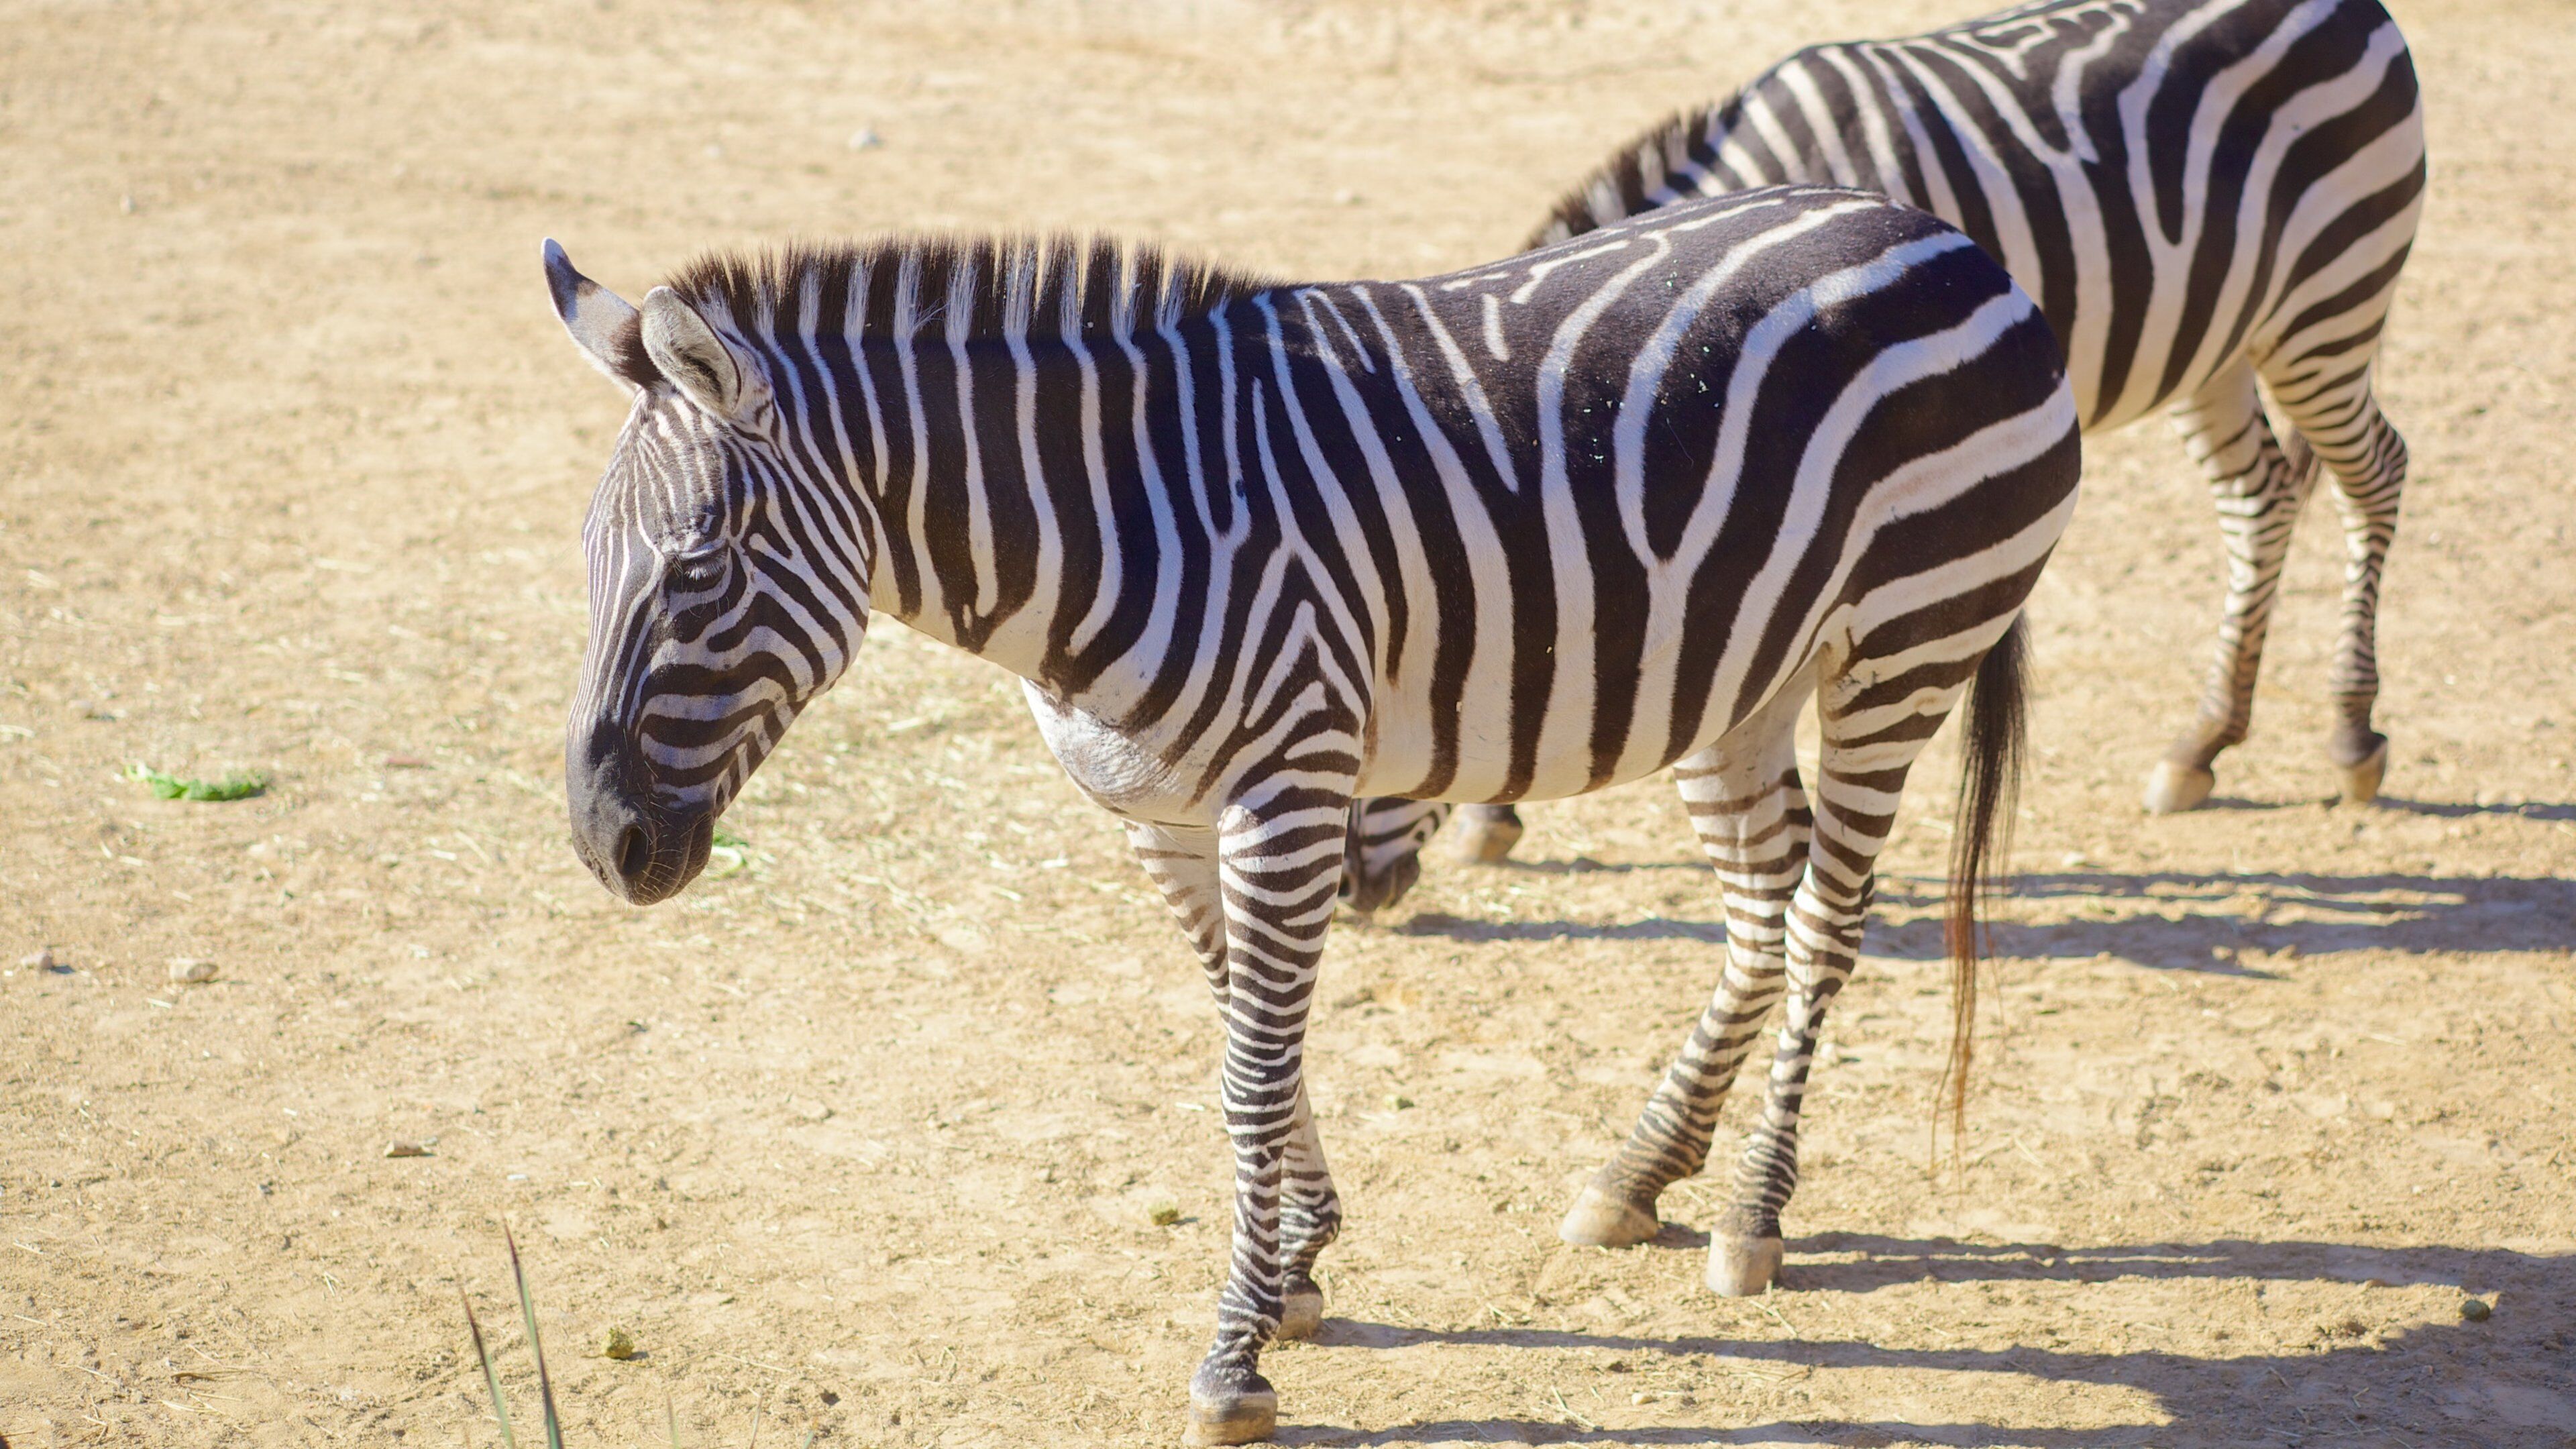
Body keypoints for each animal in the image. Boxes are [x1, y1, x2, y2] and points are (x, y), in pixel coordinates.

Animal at [544, 185, 2080, 1443]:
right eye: (588, 561)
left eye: (697, 568)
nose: (605, 846)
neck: (1113, 521)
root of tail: (1940, 236)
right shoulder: (1158, 811)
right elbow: (1250, 1043)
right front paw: (1295, 1266)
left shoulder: (1290, 785)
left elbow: (1248, 1073)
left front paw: (1234, 1356)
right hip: (1737, 674)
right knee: (1762, 911)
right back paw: (1639, 1176)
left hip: (1904, 643)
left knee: (1824, 924)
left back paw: (1755, 1212)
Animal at [1352, 0, 2426, 885]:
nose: (1369, 889)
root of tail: (2355, 5)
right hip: (2221, 340)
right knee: (2263, 496)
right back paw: (2203, 742)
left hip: (2329, 299)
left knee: (2375, 472)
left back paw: (2352, 733)